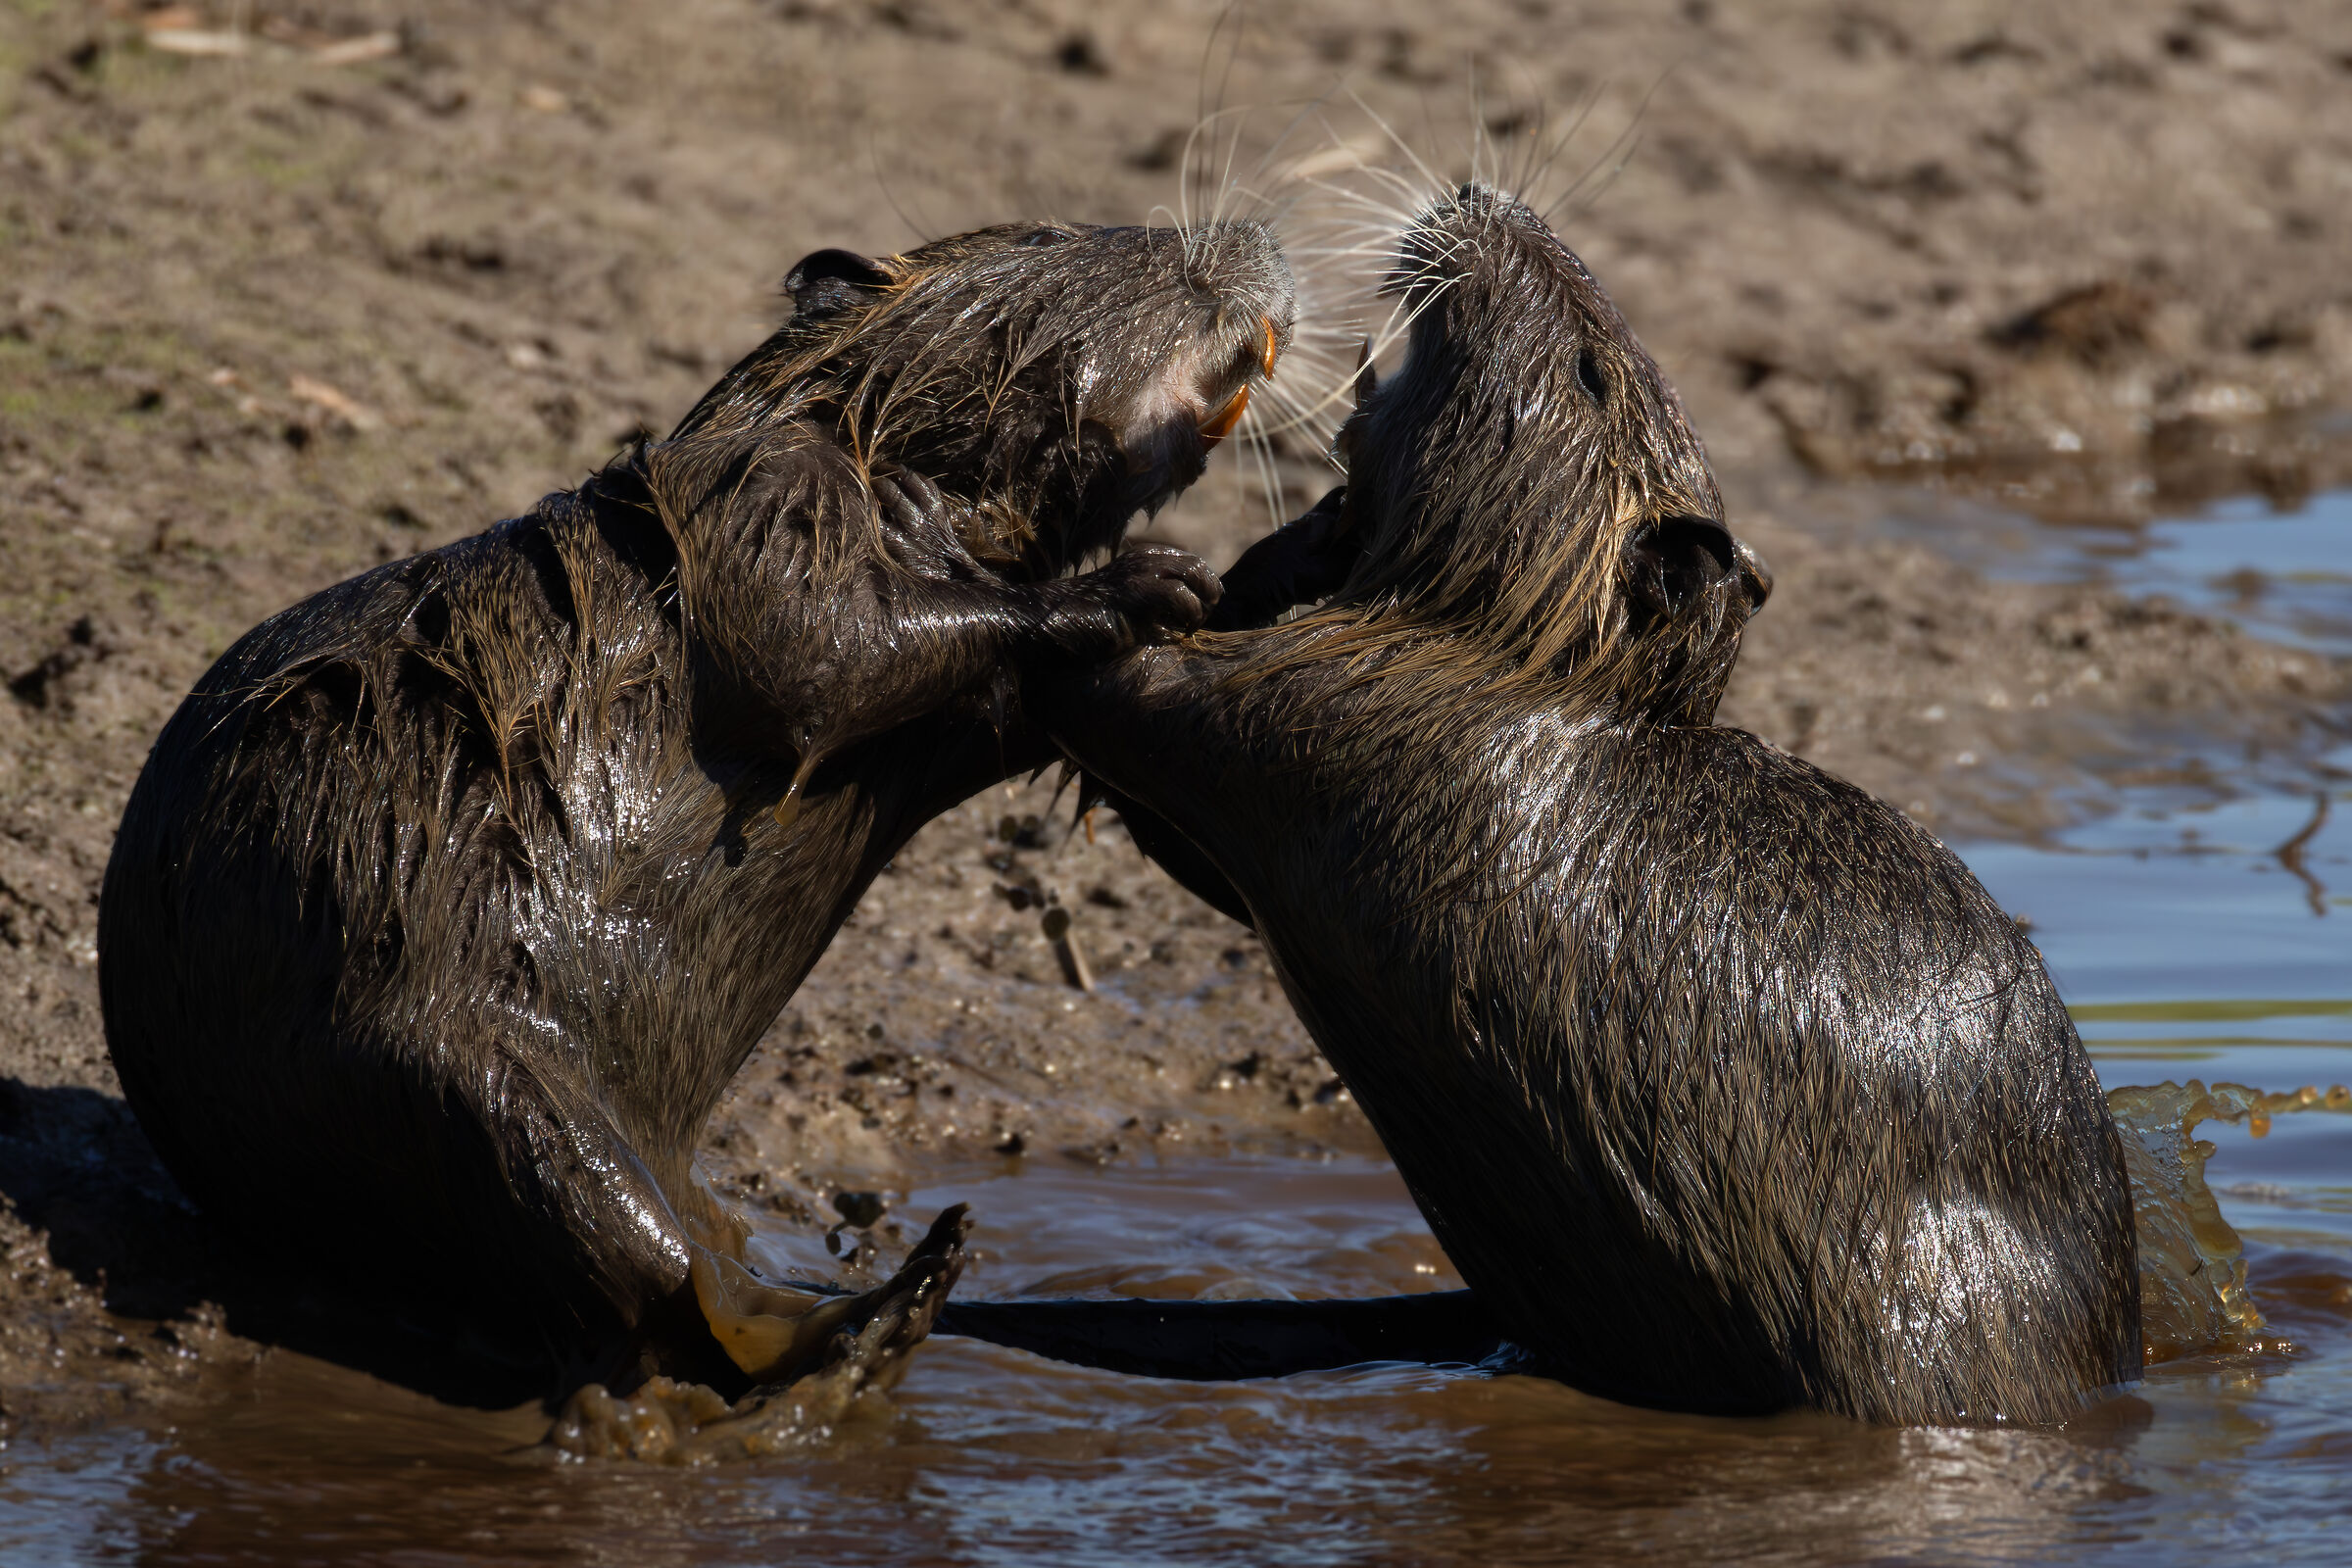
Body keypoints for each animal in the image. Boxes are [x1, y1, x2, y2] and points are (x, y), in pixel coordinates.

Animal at [98, 216, 1294, 1405]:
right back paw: (893, 1296)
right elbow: (821, 647)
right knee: (655, 1282)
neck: (864, 442)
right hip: (457, 1075)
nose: (1257, 239)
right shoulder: (753, 494)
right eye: (1079, 235)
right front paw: (1148, 584)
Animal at [1017, 186, 2140, 1426]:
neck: (1540, 679)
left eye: (1592, 371)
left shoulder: (1361, 717)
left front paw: (1090, 599)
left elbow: (1159, 709)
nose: (1482, 199)